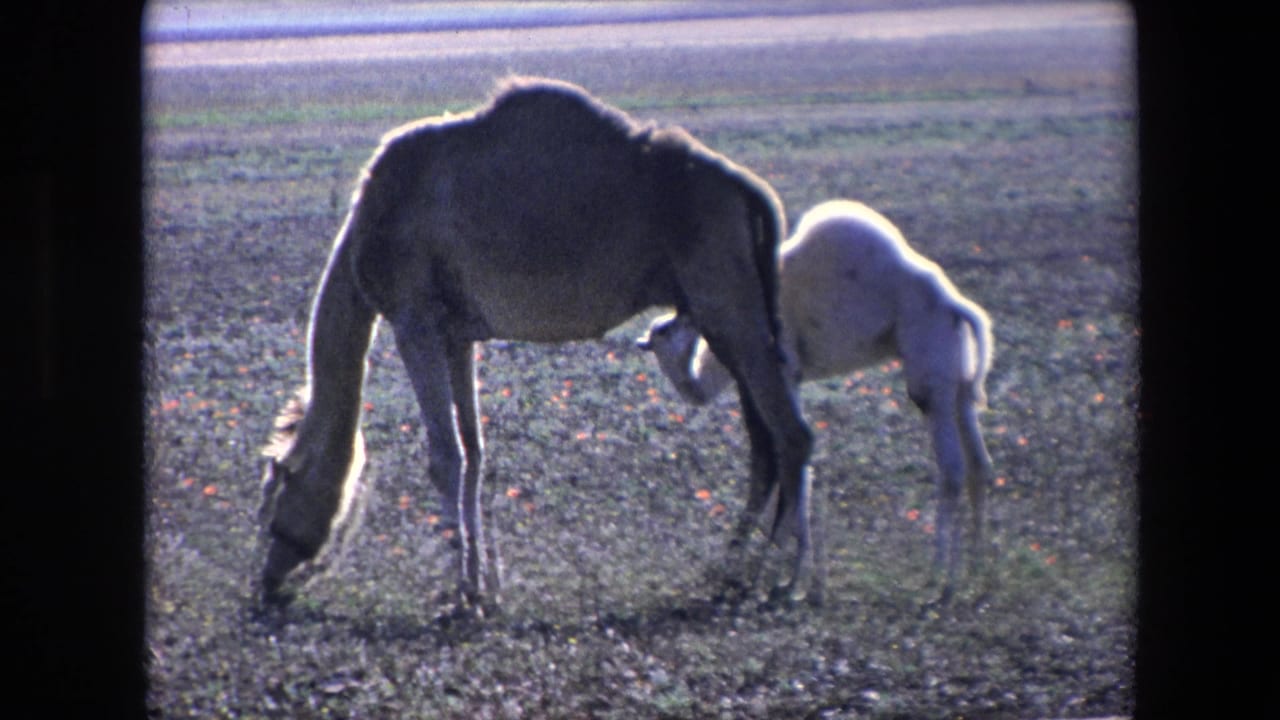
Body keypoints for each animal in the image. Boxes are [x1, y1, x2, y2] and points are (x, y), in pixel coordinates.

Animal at [257, 77, 814, 614]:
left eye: (274, 503)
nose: (267, 579)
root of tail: (750, 191)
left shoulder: (414, 320)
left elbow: (445, 457)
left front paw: (459, 592)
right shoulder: (456, 334)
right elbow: (475, 452)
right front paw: (486, 586)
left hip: (727, 301)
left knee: (792, 434)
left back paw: (787, 579)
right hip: (727, 312)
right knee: (763, 441)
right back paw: (732, 572)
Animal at [638, 199, 994, 598]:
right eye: (662, 330)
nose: (683, 315)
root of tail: (957, 306)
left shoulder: (784, 369)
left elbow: (795, 452)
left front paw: (790, 579)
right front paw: (793, 578)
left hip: (929, 370)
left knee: (951, 467)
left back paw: (941, 579)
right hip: (958, 379)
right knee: (979, 464)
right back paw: (977, 573)